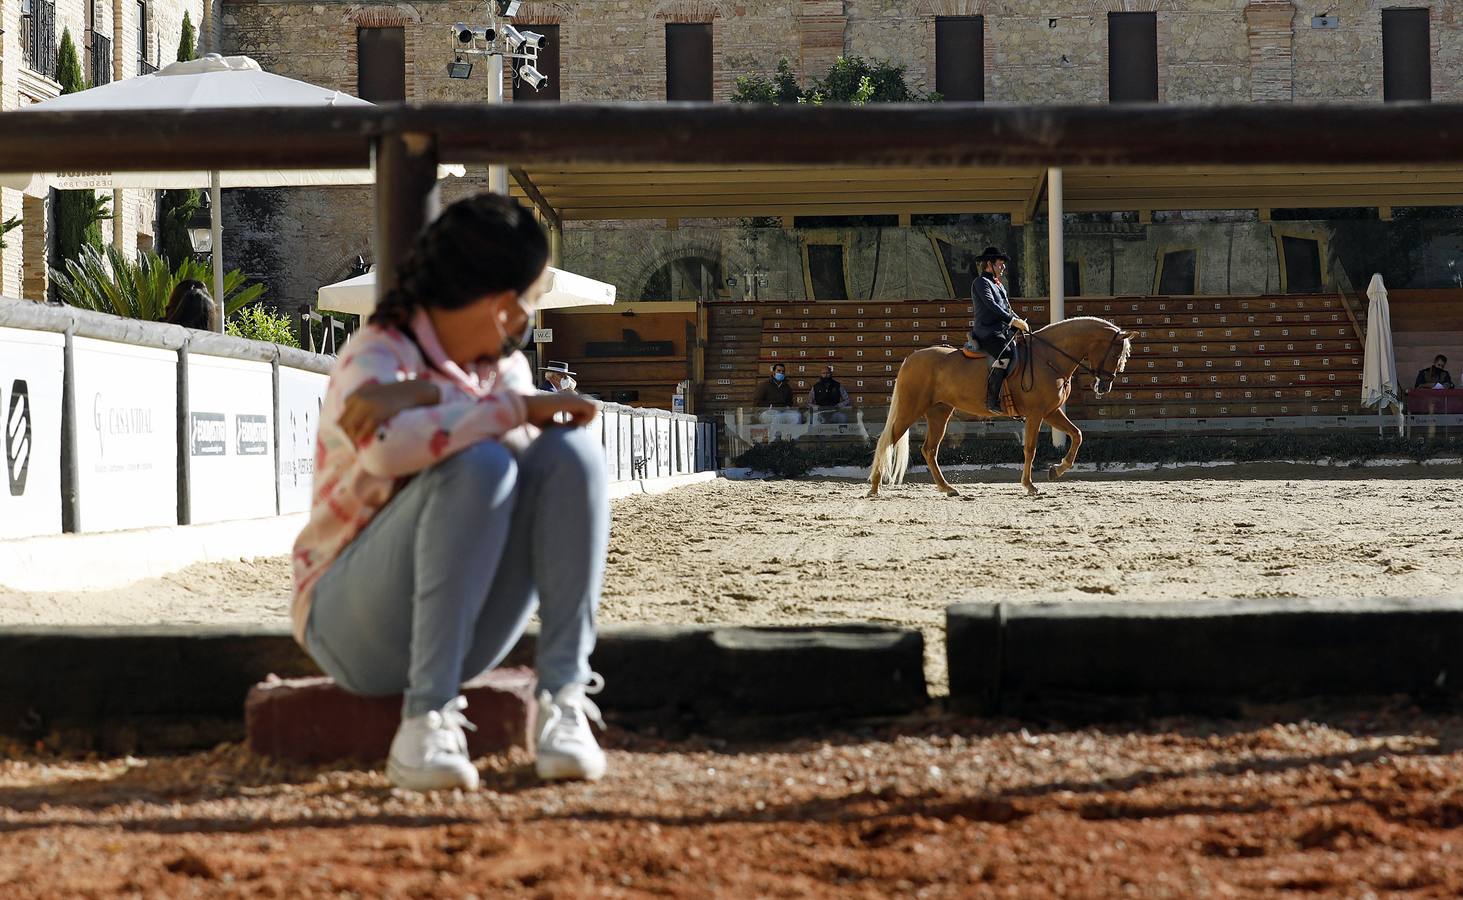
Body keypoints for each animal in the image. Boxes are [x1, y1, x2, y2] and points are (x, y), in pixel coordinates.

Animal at [860, 317, 1135, 500]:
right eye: (1116, 354)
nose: (1104, 386)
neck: (1048, 357)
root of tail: (912, 357)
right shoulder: (1036, 414)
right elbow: (1030, 449)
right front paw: (1029, 485)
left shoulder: (1051, 412)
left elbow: (1077, 435)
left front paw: (1056, 470)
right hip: (911, 408)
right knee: (888, 440)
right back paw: (874, 487)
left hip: (939, 412)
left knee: (929, 449)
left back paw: (947, 488)